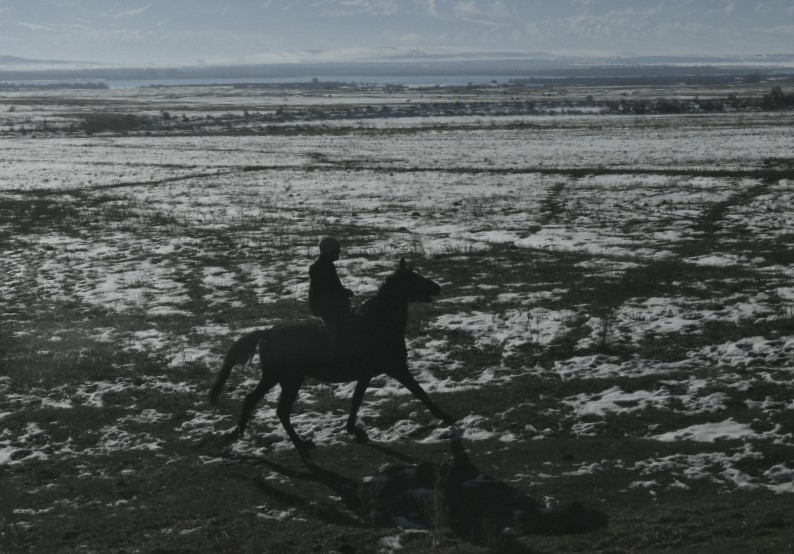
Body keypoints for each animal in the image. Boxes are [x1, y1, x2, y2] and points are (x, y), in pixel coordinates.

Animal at [209, 258, 456, 456]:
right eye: (414, 278)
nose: (437, 287)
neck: (378, 324)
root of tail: (268, 332)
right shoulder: (396, 368)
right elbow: (420, 392)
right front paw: (446, 417)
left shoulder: (367, 374)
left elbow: (357, 400)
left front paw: (354, 429)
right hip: (289, 379)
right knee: (281, 410)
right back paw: (301, 444)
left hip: (274, 377)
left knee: (252, 399)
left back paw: (240, 432)